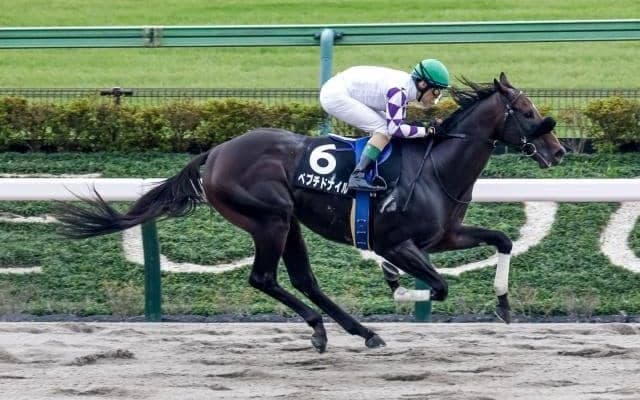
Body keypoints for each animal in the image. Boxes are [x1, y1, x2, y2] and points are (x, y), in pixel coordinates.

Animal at [56, 73, 565, 353]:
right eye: (525, 110)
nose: (558, 151)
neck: (437, 167)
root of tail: (216, 152)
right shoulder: (399, 241)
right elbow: (435, 285)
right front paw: (396, 283)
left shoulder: (444, 237)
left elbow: (502, 240)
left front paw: (503, 304)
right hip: (271, 217)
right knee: (264, 278)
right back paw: (331, 328)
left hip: (289, 223)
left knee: (303, 280)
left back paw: (356, 332)